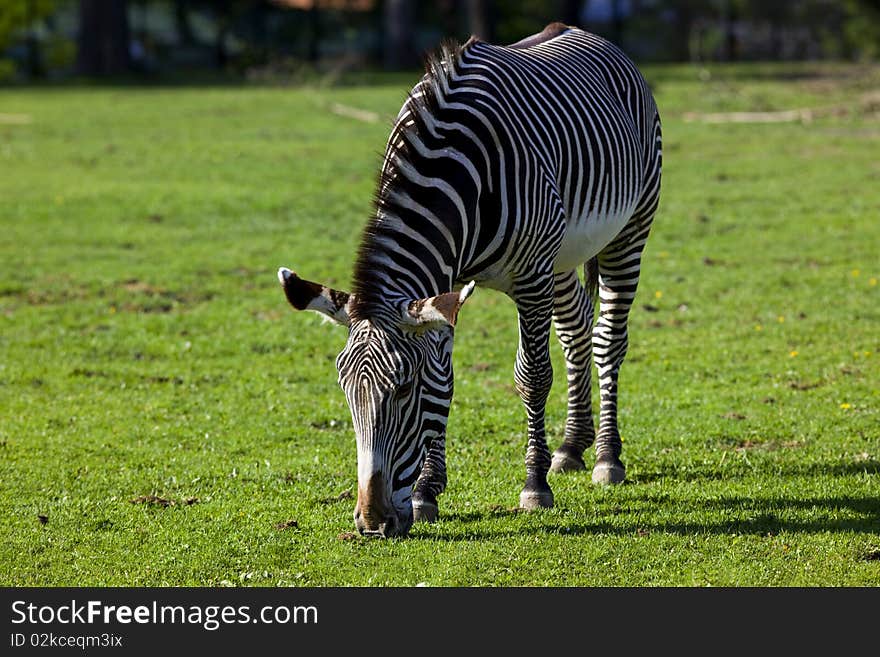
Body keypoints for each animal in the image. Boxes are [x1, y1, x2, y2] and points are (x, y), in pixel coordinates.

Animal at [278, 24, 656, 540]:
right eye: (346, 390)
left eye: (403, 390)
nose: (372, 524)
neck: (454, 172)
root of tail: (579, 31)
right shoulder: (445, 282)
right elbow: (445, 381)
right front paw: (426, 492)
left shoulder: (529, 275)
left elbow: (532, 376)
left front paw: (534, 487)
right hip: (562, 254)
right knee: (576, 329)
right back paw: (571, 447)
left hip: (628, 230)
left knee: (607, 339)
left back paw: (606, 457)